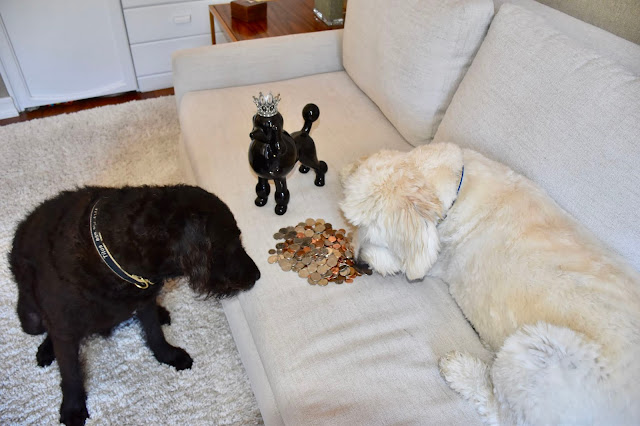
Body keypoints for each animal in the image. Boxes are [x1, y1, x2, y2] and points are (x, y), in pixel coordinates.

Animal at [9, 184, 260, 426]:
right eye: (229, 242)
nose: (258, 275)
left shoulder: (144, 299)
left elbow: (155, 334)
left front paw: (167, 355)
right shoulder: (64, 327)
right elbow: (70, 373)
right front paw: (73, 407)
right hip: (30, 320)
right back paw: (46, 349)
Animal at [340, 142, 640, 424]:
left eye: (376, 232)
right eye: (356, 224)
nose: (359, 263)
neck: (459, 188)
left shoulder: (439, 258)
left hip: (540, 351)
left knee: (503, 414)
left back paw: (461, 370)